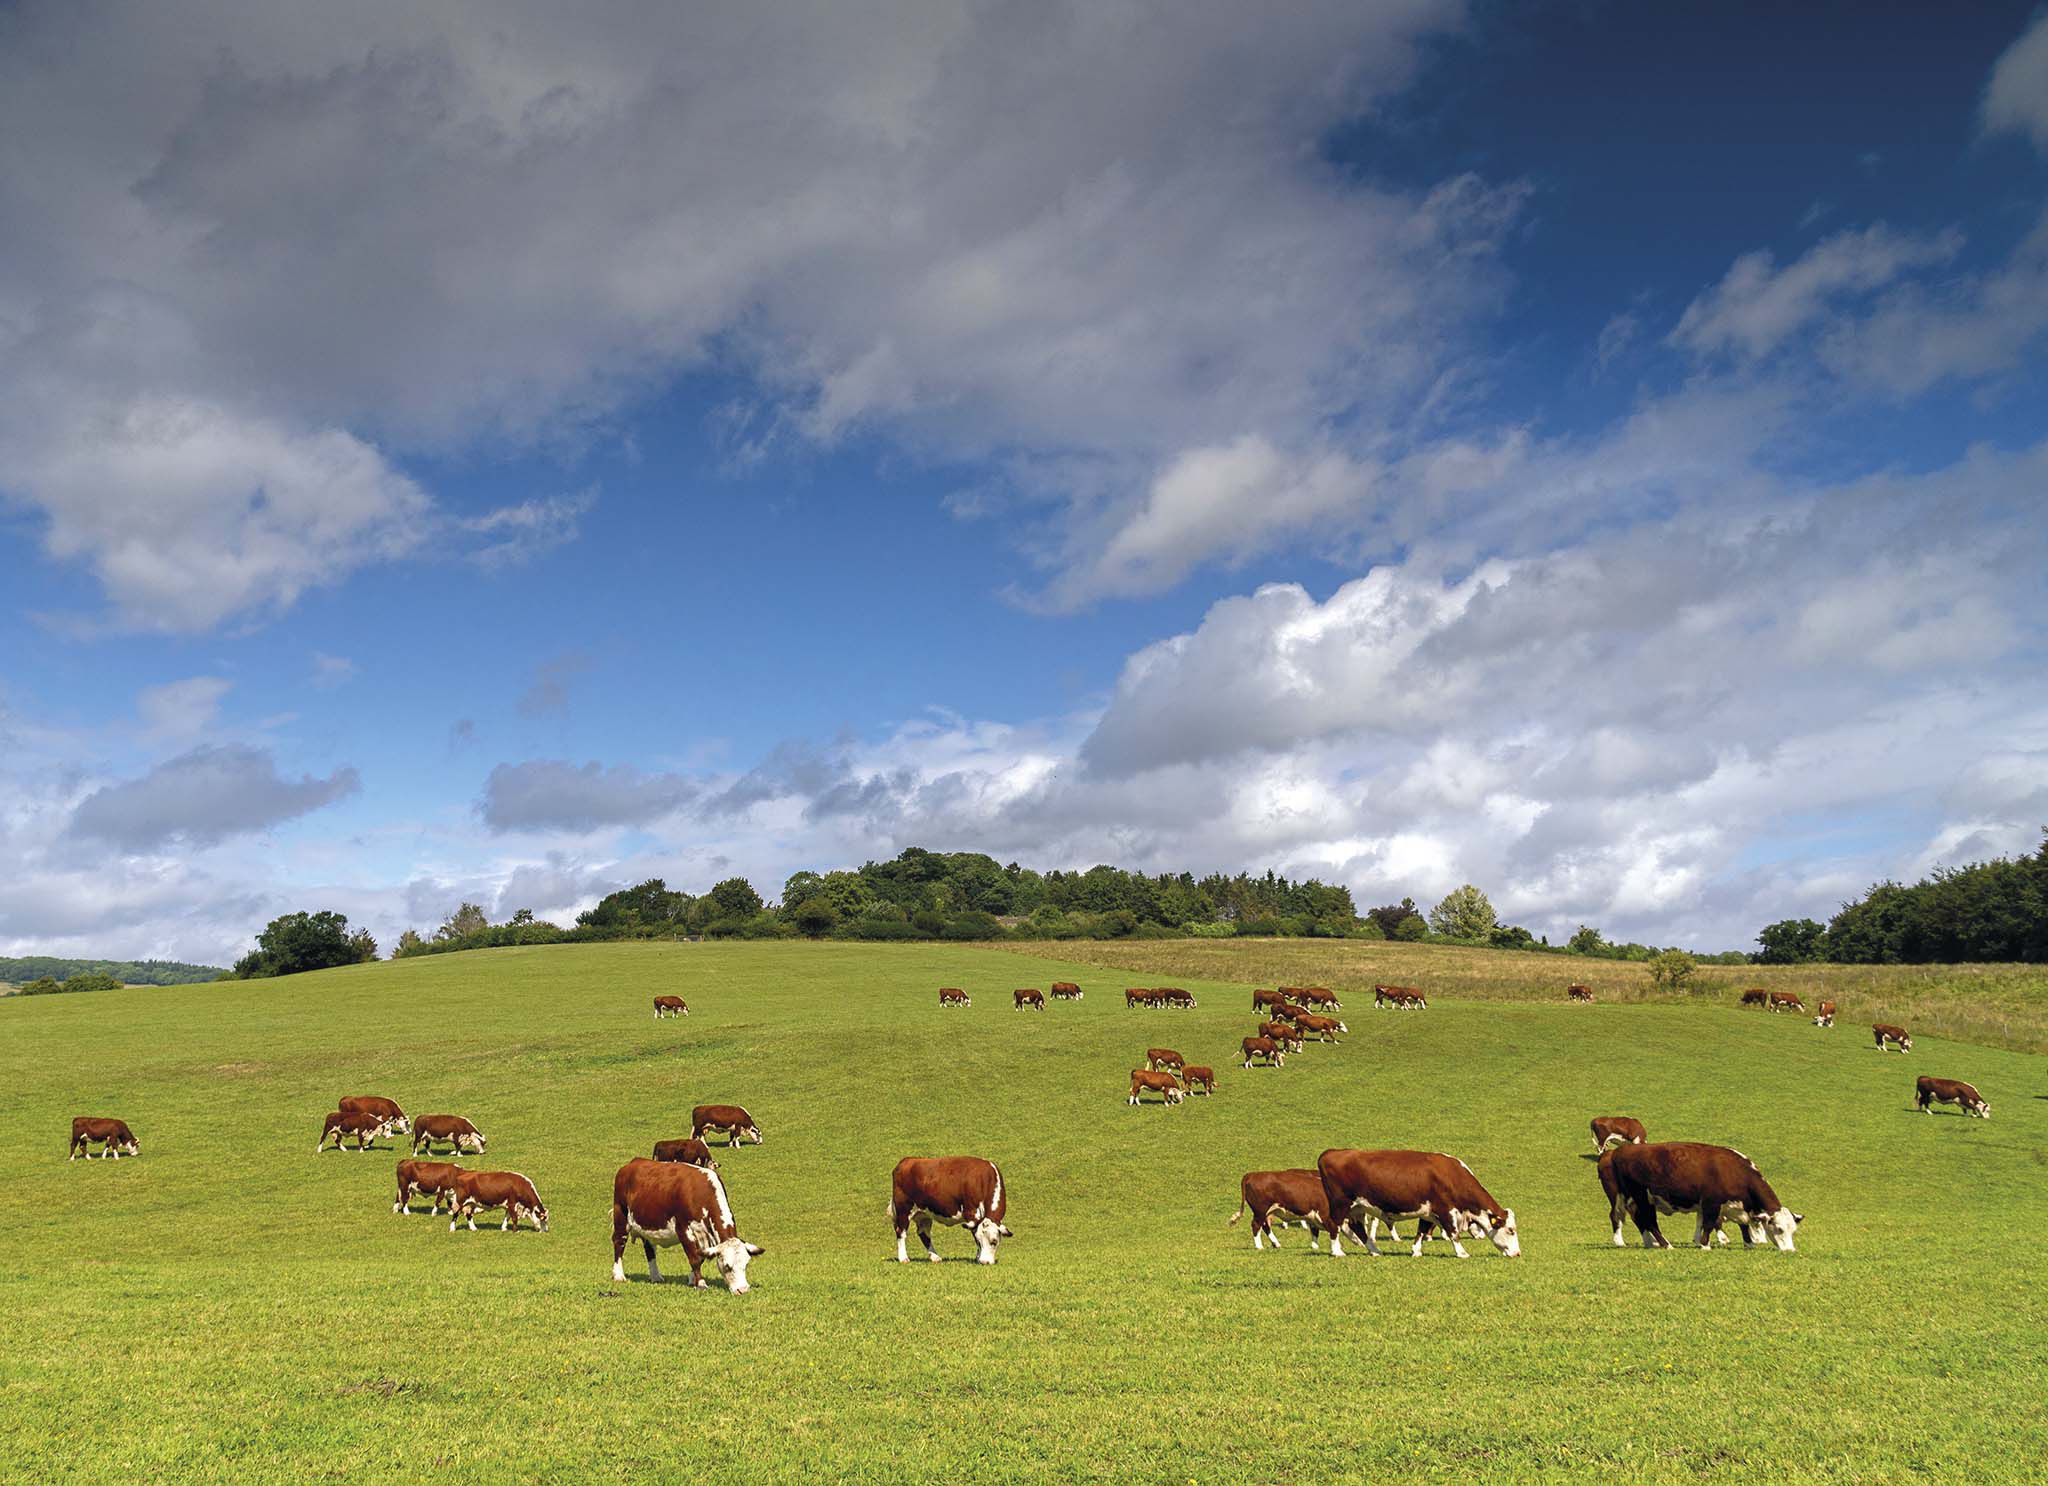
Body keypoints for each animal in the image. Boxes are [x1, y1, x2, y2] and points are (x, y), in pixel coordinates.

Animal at [614, 1154, 770, 1293]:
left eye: (746, 1265)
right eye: (727, 1266)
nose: (743, 1290)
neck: (700, 1193)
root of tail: (633, 1163)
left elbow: (700, 1257)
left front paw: (692, 1280)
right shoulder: (683, 1229)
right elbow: (694, 1258)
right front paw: (701, 1284)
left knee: (649, 1247)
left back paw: (655, 1276)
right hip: (620, 1214)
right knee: (619, 1242)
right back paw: (618, 1275)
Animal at [1310, 1154, 1523, 1260]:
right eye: (1511, 1230)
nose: (1518, 1253)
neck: (1451, 1175)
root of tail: (1330, 1153)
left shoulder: (1429, 1211)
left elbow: (1421, 1230)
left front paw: (1416, 1251)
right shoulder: (1445, 1210)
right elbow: (1453, 1233)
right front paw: (1462, 1253)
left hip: (1358, 1207)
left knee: (1358, 1228)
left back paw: (1375, 1250)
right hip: (1340, 1203)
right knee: (1334, 1225)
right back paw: (1337, 1252)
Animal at [1589, 1146, 1802, 1252]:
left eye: (1793, 1230)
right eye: (1779, 1229)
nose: (1790, 1250)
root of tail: (1615, 1152)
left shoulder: (1729, 1205)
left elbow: (1739, 1224)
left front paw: (1748, 1243)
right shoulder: (1711, 1203)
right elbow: (1708, 1223)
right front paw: (1705, 1244)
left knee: (1639, 1219)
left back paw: (1651, 1242)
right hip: (1639, 1196)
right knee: (1642, 1220)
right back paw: (1663, 1244)